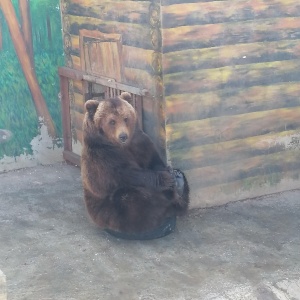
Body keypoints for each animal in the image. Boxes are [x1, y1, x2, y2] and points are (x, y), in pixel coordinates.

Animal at [79, 92, 188, 239]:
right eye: (112, 121)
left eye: (126, 118)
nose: (123, 136)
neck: (122, 146)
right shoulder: (103, 157)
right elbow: (128, 174)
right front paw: (165, 178)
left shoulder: (140, 143)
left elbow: (154, 161)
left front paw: (171, 172)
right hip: (106, 210)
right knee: (130, 199)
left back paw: (179, 180)